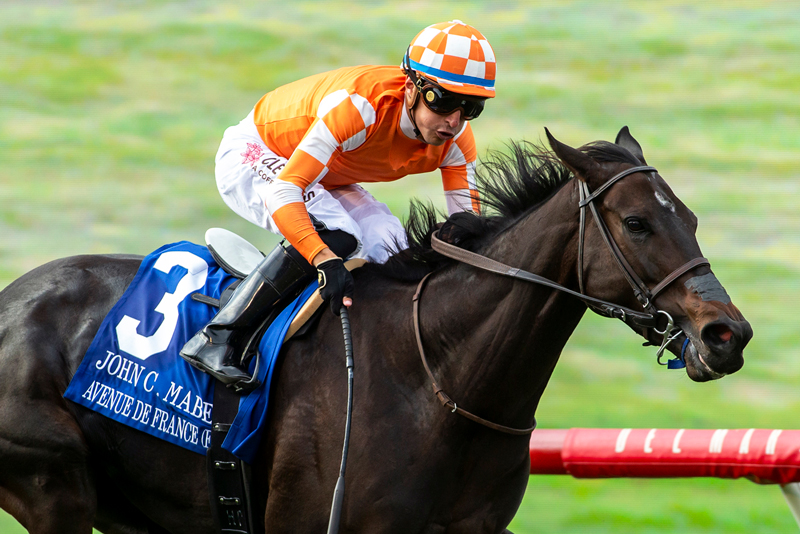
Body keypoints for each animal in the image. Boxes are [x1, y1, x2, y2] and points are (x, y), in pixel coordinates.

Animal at [0, 127, 752, 532]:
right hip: (52, 486)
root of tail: (12, 302)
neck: (438, 375)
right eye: (638, 223)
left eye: (689, 216)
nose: (727, 334)